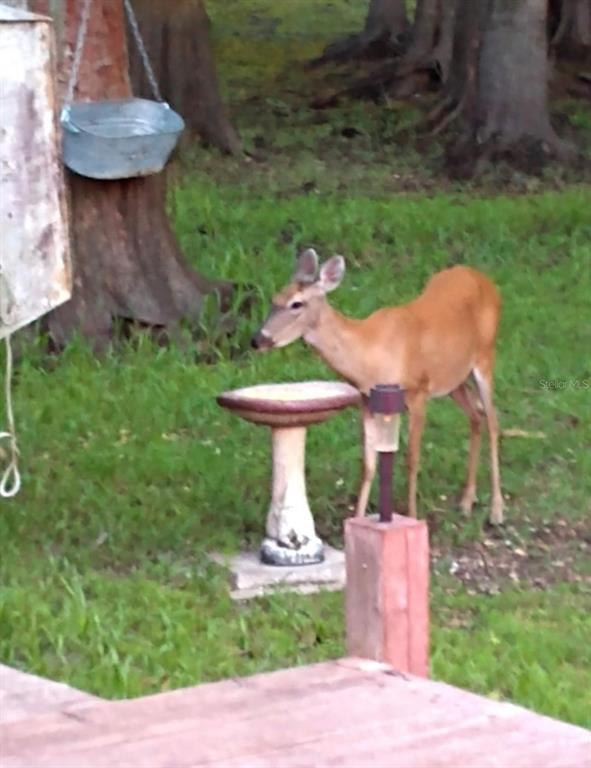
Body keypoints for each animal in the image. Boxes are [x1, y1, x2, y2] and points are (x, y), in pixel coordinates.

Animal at [251, 248, 504, 525]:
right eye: (274, 298)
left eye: (296, 303)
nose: (257, 339)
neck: (369, 352)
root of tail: (482, 278)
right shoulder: (367, 401)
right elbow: (369, 464)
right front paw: (356, 521)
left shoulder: (418, 391)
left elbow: (411, 460)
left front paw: (413, 517)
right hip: (454, 379)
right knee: (476, 415)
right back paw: (467, 501)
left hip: (485, 356)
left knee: (493, 420)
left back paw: (496, 511)